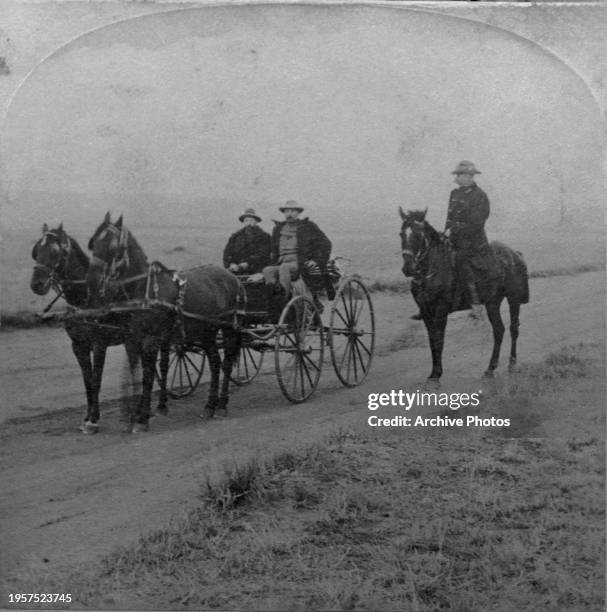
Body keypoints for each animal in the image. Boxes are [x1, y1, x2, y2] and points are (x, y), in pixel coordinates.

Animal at [30, 222, 142, 432]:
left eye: (55, 251)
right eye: (36, 251)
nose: (36, 284)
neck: (85, 299)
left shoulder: (99, 345)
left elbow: (96, 380)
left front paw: (94, 420)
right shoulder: (78, 346)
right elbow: (87, 381)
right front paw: (88, 416)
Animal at [86, 213, 242, 432]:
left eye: (113, 247)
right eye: (93, 243)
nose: (92, 281)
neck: (144, 291)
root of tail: (234, 278)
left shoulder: (151, 340)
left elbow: (147, 376)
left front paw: (142, 418)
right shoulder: (132, 339)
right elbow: (136, 375)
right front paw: (134, 414)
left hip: (229, 328)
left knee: (227, 362)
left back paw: (221, 405)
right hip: (206, 331)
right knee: (214, 362)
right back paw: (210, 406)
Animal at [400, 210, 528, 382]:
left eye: (418, 235)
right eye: (401, 234)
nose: (408, 269)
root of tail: (515, 254)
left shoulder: (441, 310)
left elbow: (439, 340)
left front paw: (437, 374)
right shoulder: (426, 312)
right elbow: (432, 340)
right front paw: (433, 373)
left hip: (513, 300)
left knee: (513, 329)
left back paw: (512, 364)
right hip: (492, 302)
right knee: (499, 330)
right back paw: (490, 368)